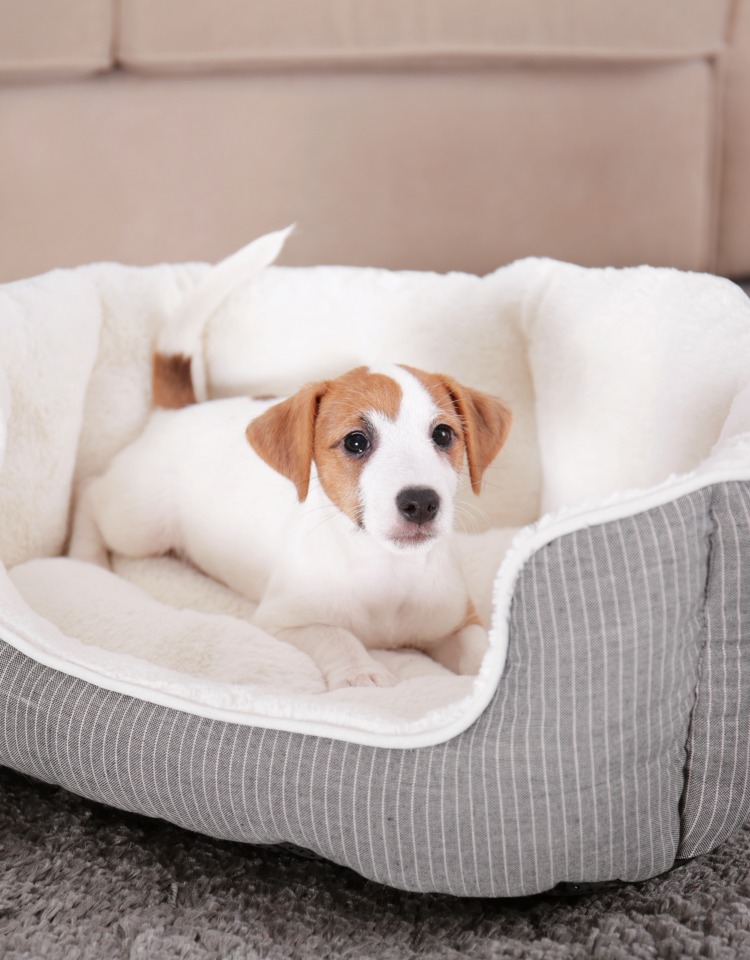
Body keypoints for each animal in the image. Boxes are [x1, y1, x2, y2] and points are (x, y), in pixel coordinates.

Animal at [70, 229, 516, 688]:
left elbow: (478, 651)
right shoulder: (285, 620)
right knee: (90, 491)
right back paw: (86, 560)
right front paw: (362, 673)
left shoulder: (457, 620)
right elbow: (338, 635)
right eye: (356, 442)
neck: (386, 568)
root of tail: (177, 411)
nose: (422, 503)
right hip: (138, 524)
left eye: (443, 434)